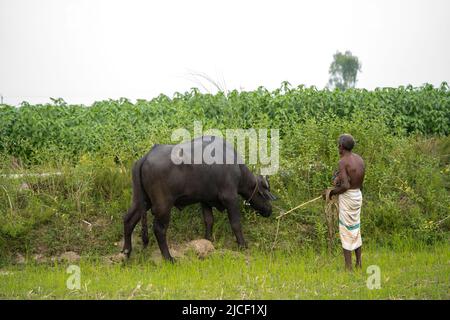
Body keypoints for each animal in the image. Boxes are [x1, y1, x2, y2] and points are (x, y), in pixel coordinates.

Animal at [122, 135, 274, 260]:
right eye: (265, 192)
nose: (269, 210)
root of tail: (146, 157)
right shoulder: (230, 198)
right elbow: (236, 223)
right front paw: (243, 245)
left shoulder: (205, 200)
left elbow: (209, 220)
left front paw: (208, 240)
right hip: (163, 205)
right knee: (159, 229)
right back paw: (168, 258)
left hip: (140, 200)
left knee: (128, 220)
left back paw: (126, 252)